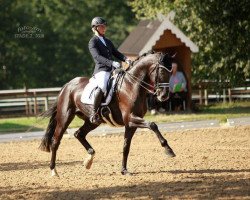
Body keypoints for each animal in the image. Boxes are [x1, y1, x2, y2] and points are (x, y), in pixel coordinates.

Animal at [39, 50, 176, 176]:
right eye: (162, 71)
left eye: (171, 72)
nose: (164, 96)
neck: (132, 85)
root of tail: (67, 85)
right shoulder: (130, 118)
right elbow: (153, 125)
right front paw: (169, 150)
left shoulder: (130, 124)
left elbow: (126, 146)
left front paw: (124, 170)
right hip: (65, 117)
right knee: (55, 141)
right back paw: (54, 171)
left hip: (92, 121)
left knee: (79, 134)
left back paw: (89, 160)